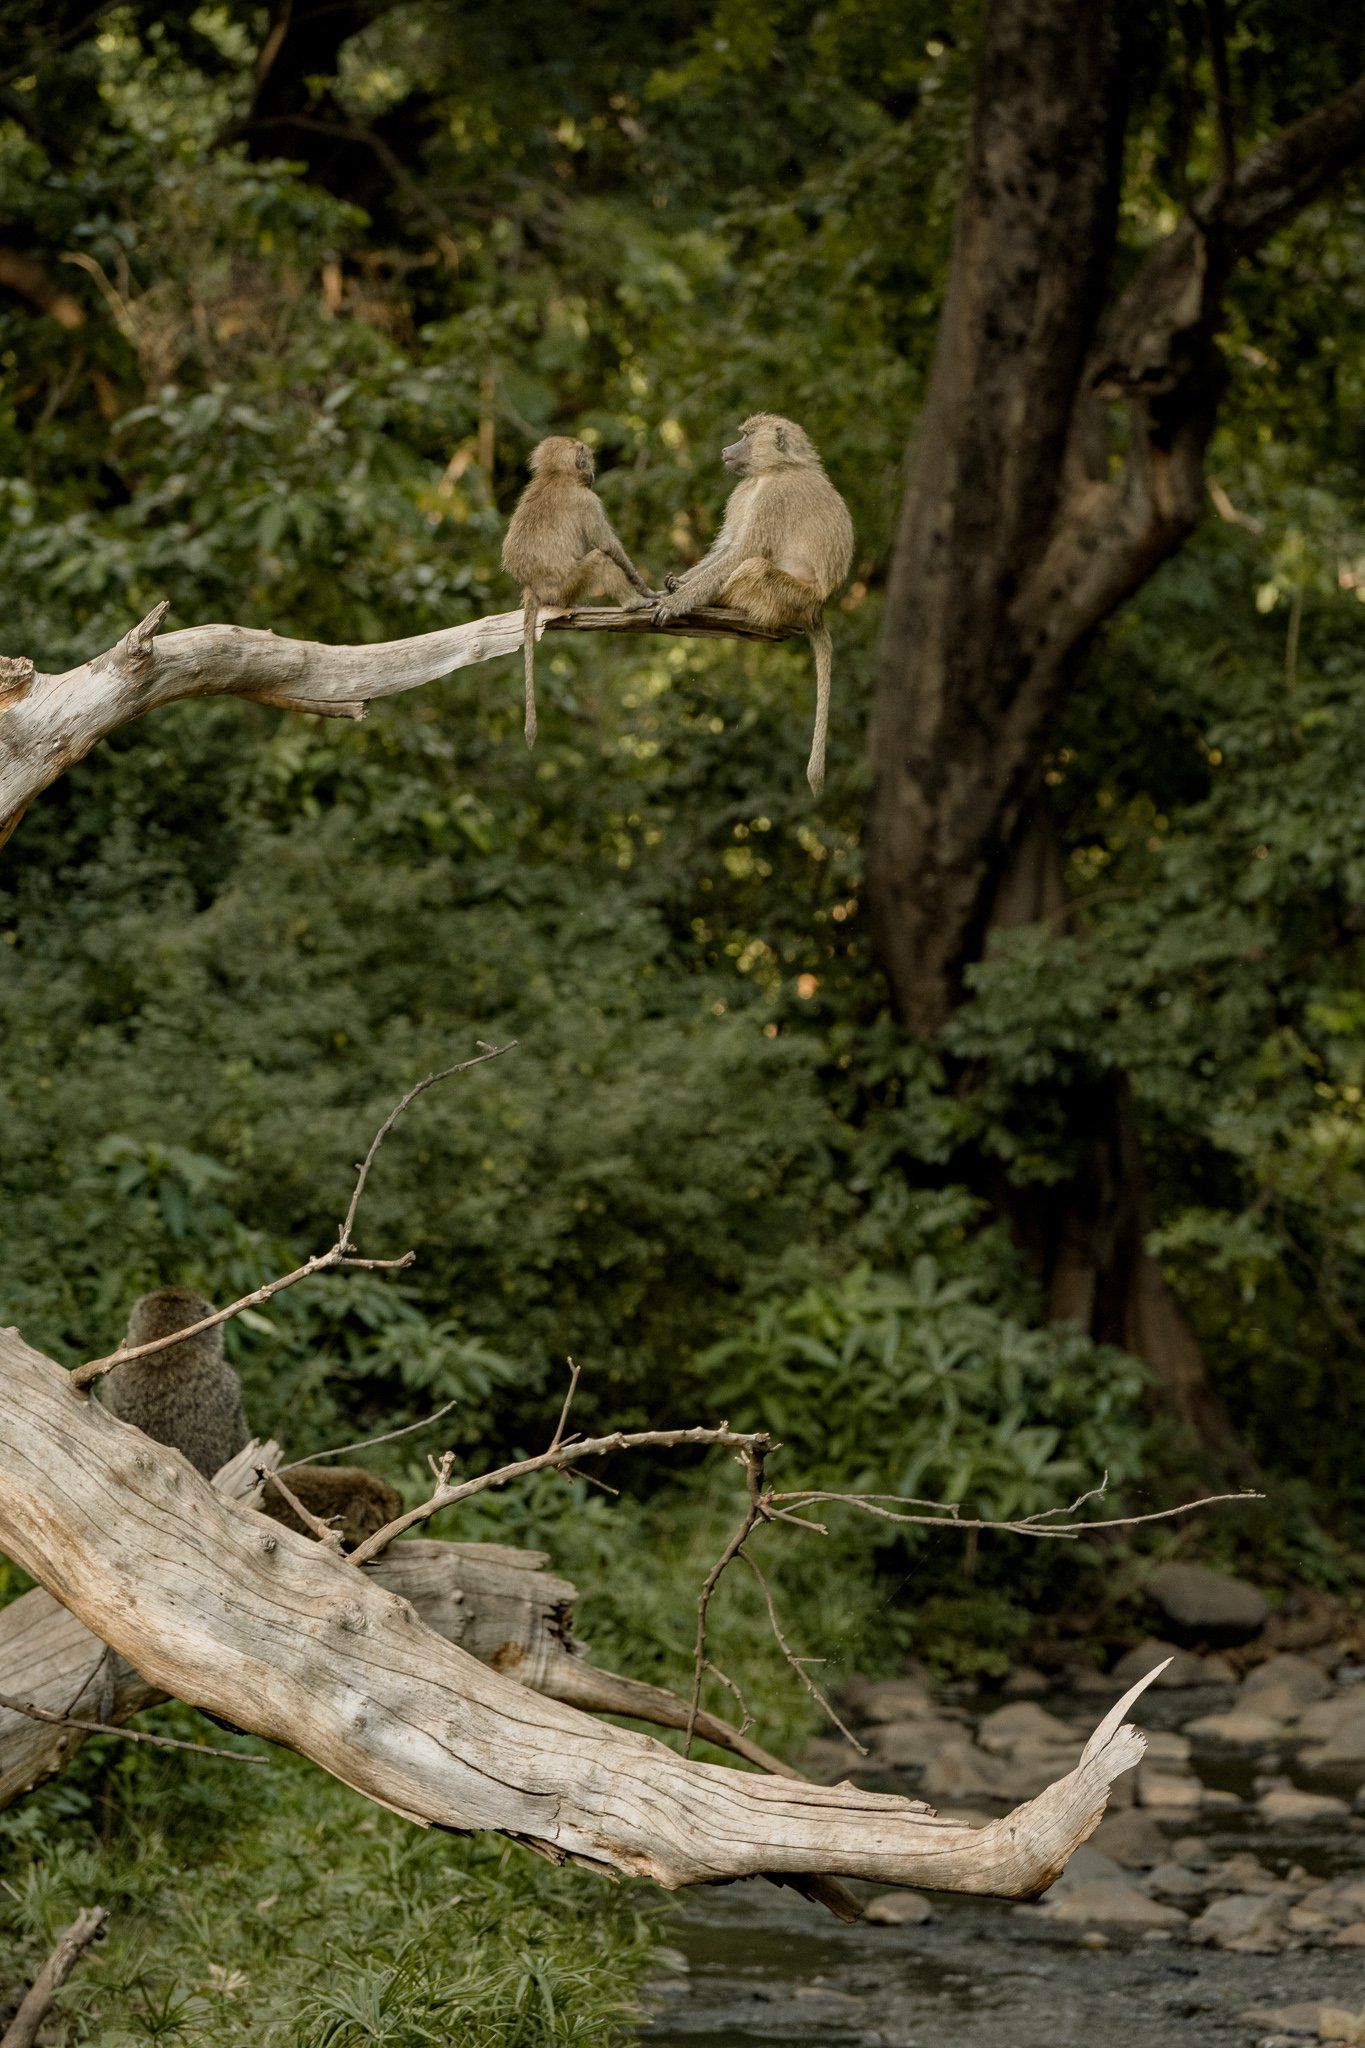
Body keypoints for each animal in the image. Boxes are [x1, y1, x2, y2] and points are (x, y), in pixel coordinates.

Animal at [501, 435, 654, 747]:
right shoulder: (587, 501)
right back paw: (633, 604)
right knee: (599, 558)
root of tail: (531, 587)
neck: (556, 475)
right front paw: (644, 590)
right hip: (565, 588)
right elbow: (609, 547)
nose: (593, 475)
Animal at [652, 414, 854, 796]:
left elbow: (743, 551)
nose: (725, 450)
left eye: (745, 436)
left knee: (754, 566)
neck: (772, 470)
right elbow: (728, 546)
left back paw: (716, 603)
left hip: (790, 598)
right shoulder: (745, 492)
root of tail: (817, 610)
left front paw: (677, 600)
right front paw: (673, 589)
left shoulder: (774, 497)